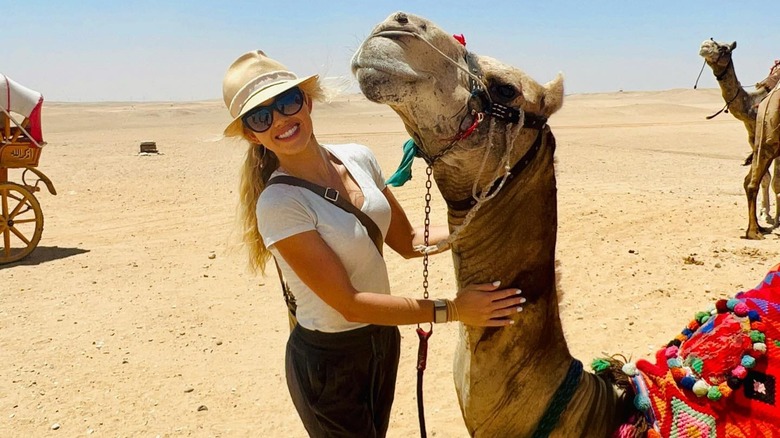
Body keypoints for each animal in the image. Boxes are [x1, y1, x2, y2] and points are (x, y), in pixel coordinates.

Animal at [696, 39, 780, 228]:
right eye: (711, 41)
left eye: (723, 48)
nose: (705, 45)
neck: (752, 105)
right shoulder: (755, 141)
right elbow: (765, 178)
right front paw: (765, 214)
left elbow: (775, 181)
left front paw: (776, 219)